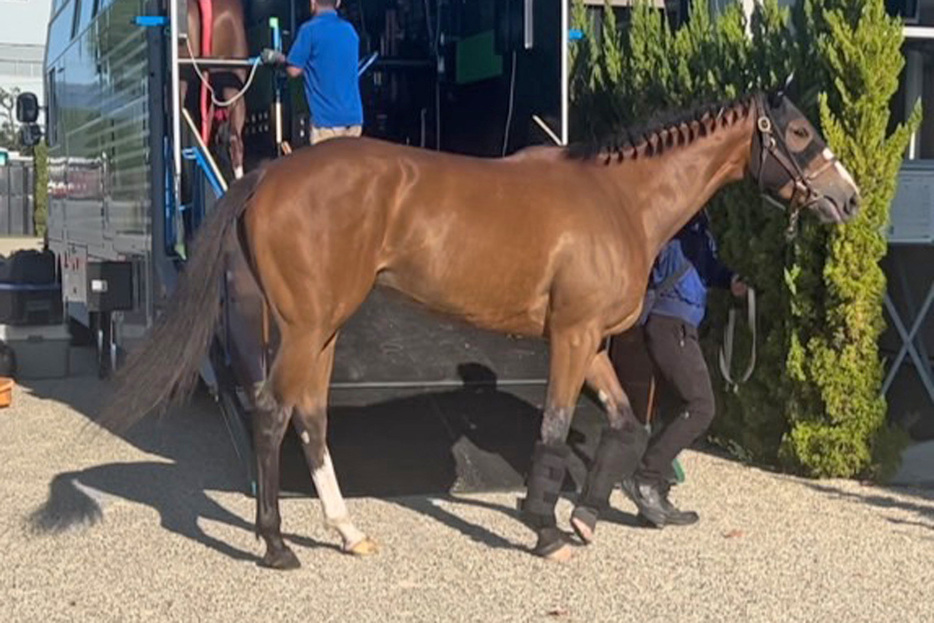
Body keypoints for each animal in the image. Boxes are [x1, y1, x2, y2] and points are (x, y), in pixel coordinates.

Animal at [100, 90, 856, 568]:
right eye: (798, 135)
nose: (846, 198)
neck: (619, 199)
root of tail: (270, 173)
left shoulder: (591, 341)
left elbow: (621, 422)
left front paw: (587, 513)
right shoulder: (571, 338)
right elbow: (554, 428)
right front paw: (545, 527)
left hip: (323, 330)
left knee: (311, 419)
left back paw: (346, 532)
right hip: (307, 326)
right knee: (272, 416)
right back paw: (278, 546)